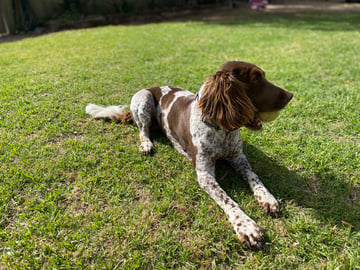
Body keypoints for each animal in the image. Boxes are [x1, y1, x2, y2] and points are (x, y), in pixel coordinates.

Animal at [86, 60, 292, 247]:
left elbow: (254, 177)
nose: (290, 95)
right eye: (256, 79)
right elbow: (227, 199)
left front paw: (267, 198)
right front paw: (246, 226)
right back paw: (146, 144)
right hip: (143, 99)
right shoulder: (204, 173)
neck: (220, 129)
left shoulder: (238, 157)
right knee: (142, 130)